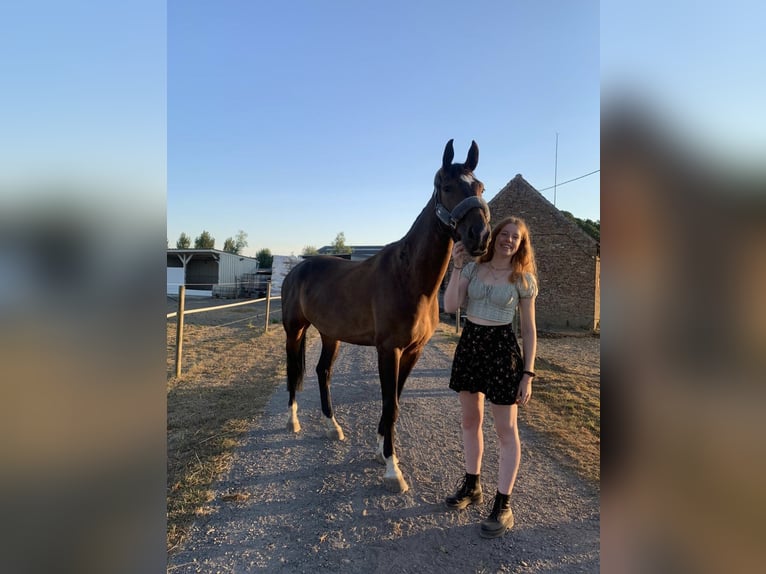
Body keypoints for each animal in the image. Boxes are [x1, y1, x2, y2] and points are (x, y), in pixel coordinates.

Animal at [280, 139, 491, 493]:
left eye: (480, 187)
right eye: (447, 187)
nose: (481, 236)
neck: (410, 279)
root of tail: (298, 268)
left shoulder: (412, 352)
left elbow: (394, 401)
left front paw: (382, 450)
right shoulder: (388, 350)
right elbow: (390, 404)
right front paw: (394, 471)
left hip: (330, 334)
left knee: (323, 372)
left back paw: (332, 426)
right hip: (294, 330)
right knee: (293, 370)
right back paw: (292, 420)